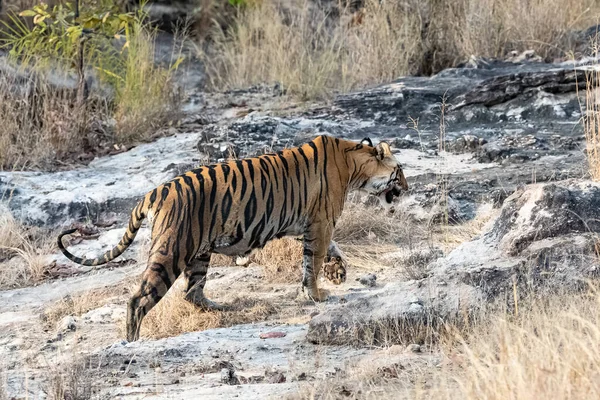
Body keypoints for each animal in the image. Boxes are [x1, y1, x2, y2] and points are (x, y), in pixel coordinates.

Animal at [58, 135, 410, 340]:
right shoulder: (320, 222)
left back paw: (222, 308)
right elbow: (314, 259)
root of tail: (156, 191)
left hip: (198, 253)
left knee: (192, 292)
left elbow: (329, 251)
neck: (355, 163)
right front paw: (317, 293)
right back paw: (131, 342)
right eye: (400, 171)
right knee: (139, 299)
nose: (407, 189)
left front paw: (338, 273)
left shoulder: (307, 226)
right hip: (172, 251)